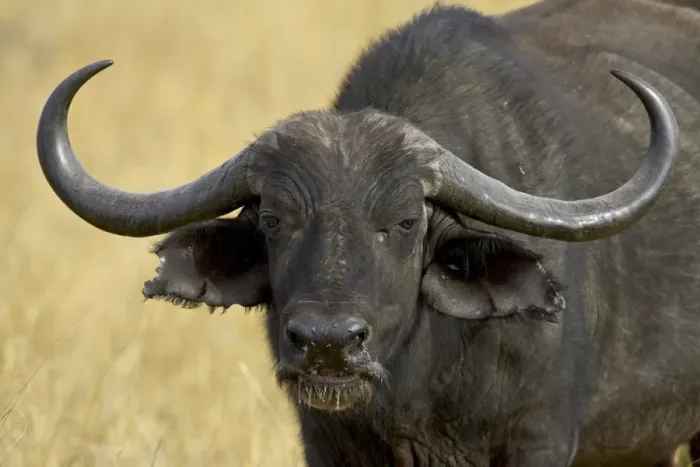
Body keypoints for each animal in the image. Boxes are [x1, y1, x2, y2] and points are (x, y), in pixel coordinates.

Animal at [35, 1, 700, 466]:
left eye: (405, 222)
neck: (421, 391)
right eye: (274, 220)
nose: (329, 345)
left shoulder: (539, 437)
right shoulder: (324, 441)